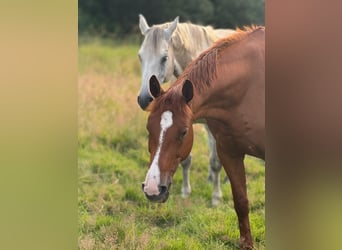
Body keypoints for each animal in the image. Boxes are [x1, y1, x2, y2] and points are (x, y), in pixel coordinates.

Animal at [142, 26, 264, 249]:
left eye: (184, 131)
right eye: (149, 128)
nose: (153, 189)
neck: (248, 86)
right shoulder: (229, 152)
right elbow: (241, 202)